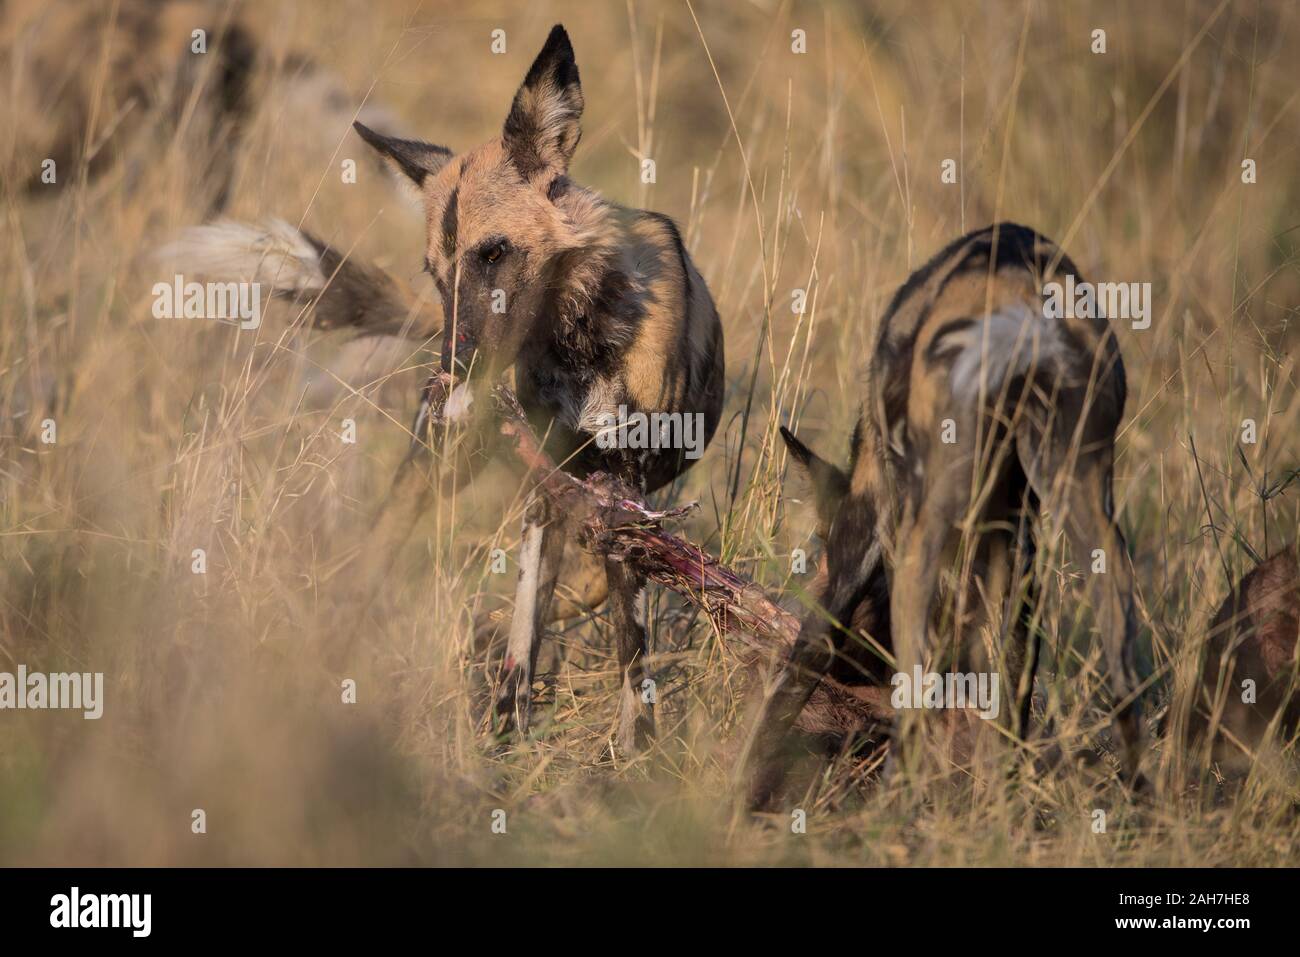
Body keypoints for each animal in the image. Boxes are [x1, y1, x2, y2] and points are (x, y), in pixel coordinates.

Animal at [743, 221, 1149, 806]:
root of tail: (1019, 290)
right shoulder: (1017, 556)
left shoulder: (859, 542)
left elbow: (796, 674)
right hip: (1092, 515)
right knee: (1120, 678)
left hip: (921, 538)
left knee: (912, 709)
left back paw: (888, 811)